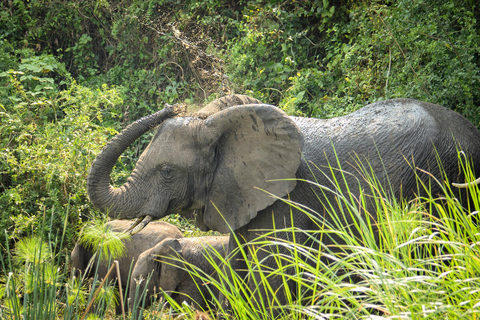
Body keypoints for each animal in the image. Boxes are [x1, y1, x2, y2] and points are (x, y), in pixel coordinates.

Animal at [86, 96, 480, 314]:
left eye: (167, 172)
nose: (172, 106)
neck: (225, 126)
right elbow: (238, 272)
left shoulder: (287, 201)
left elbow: (273, 279)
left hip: (442, 182)